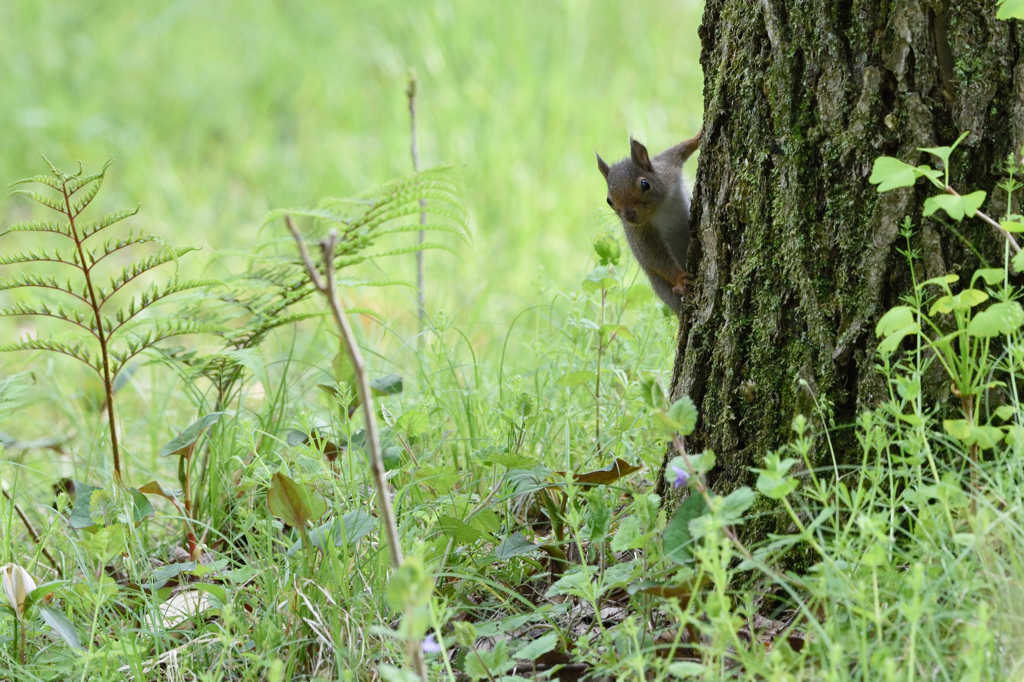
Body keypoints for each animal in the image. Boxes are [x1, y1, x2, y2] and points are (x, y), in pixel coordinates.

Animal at [598, 131, 700, 315]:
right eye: (609, 200)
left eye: (645, 184)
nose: (629, 215)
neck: (660, 207)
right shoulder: (640, 231)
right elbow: (654, 256)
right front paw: (680, 278)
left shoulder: (667, 167)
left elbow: (679, 150)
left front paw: (697, 137)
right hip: (663, 288)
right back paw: (680, 290)